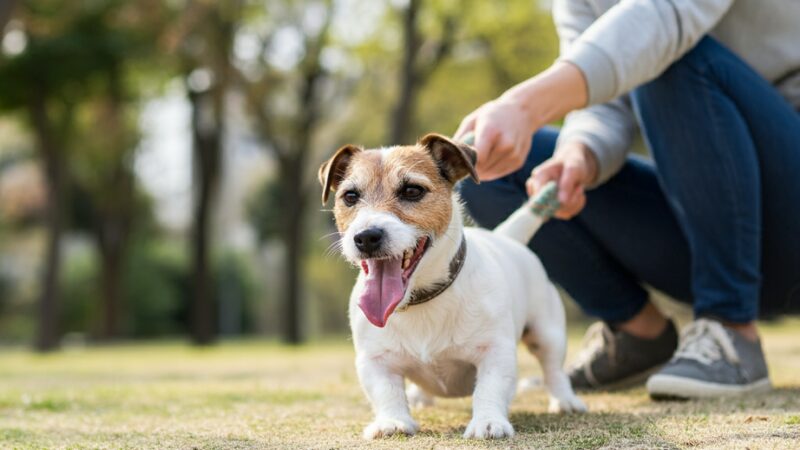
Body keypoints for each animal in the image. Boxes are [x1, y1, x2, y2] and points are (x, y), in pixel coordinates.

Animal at [318, 134, 588, 440]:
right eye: (350, 196)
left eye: (412, 190)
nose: (366, 237)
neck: (423, 299)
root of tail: (505, 237)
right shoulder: (374, 360)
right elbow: (386, 391)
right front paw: (392, 421)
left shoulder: (495, 352)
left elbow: (490, 387)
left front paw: (487, 422)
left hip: (547, 333)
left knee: (553, 369)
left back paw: (565, 401)